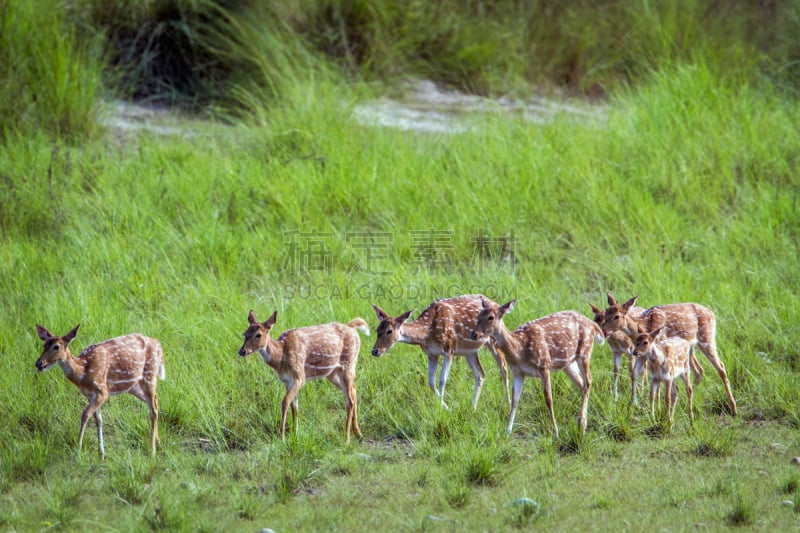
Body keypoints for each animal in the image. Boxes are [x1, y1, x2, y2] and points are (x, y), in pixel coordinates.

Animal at [34, 322, 166, 460]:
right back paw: (158, 442)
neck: (83, 371)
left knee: (153, 410)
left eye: (56, 347)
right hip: (133, 386)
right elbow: (98, 420)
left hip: (150, 375)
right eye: (44, 345)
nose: (38, 363)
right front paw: (101, 454)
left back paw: (152, 451)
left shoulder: (102, 391)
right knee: (154, 401)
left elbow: (85, 415)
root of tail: (159, 345)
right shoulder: (90, 394)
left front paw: (78, 449)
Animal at [238, 308, 368, 440]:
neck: (281, 356)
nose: (242, 351)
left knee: (350, 401)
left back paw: (347, 438)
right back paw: (358, 433)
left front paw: (282, 436)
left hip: (349, 363)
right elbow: (294, 406)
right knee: (354, 391)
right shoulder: (286, 380)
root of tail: (352, 327)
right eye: (245, 333)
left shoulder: (299, 376)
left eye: (258, 334)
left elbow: (285, 402)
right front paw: (295, 433)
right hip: (332, 373)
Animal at [370, 294, 510, 410]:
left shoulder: (449, 348)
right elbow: (431, 382)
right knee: (481, 374)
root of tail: (496, 304)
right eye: (377, 330)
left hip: (493, 340)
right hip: (469, 351)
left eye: (389, 331)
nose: (375, 351)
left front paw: (444, 410)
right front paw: (444, 406)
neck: (427, 333)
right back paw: (473, 406)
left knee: (504, 367)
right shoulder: (432, 354)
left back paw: (507, 403)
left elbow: (442, 380)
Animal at [468, 298, 608, 438]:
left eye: (491, 317)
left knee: (588, 380)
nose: (474, 334)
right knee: (581, 384)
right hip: (568, 364)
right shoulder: (518, 372)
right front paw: (508, 431)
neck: (520, 349)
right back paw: (583, 421)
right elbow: (514, 400)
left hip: (585, 351)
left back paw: (582, 425)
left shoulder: (544, 366)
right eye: (478, 315)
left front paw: (556, 432)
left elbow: (548, 399)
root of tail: (593, 324)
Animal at [600, 294, 736, 414]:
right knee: (699, 370)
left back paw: (733, 408)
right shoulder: (641, 353)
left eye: (616, 316)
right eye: (606, 312)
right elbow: (634, 373)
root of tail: (712, 313)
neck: (643, 326)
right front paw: (633, 404)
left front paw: (658, 408)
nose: (604, 331)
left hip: (707, 338)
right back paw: (688, 402)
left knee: (720, 367)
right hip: (691, 349)